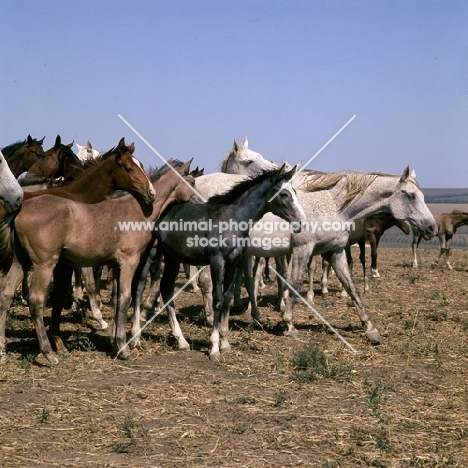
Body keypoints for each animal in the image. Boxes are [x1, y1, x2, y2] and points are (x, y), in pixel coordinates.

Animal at [0, 159, 196, 368]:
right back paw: (49, 354)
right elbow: (125, 298)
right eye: (192, 181)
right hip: (44, 263)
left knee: (6, 294)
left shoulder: (116, 265)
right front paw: (123, 348)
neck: (137, 210)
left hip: (21, 261)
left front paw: (114, 341)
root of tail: (20, 210)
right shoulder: (129, 261)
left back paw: (3, 351)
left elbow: (118, 300)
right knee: (36, 300)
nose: (201, 202)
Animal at [152, 166, 304, 360]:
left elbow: (227, 298)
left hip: (173, 258)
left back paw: (181, 341)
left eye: (295, 192)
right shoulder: (217, 261)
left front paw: (225, 343)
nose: (301, 222)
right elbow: (217, 300)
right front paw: (214, 347)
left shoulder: (234, 262)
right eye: (284, 194)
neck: (231, 219)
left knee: (166, 288)